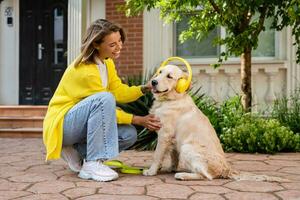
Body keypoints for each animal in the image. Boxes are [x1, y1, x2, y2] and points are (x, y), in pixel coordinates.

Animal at [144, 64, 290, 183]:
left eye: (169, 76)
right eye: (160, 72)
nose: (153, 82)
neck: (171, 100)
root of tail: (226, 169)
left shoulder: (164, 134)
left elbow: (157, 155)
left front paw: (151, 171)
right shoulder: (173, 139)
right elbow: (173, 156)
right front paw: (171, 168)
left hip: (187, 147)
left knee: (206, 176)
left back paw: (183, 175)